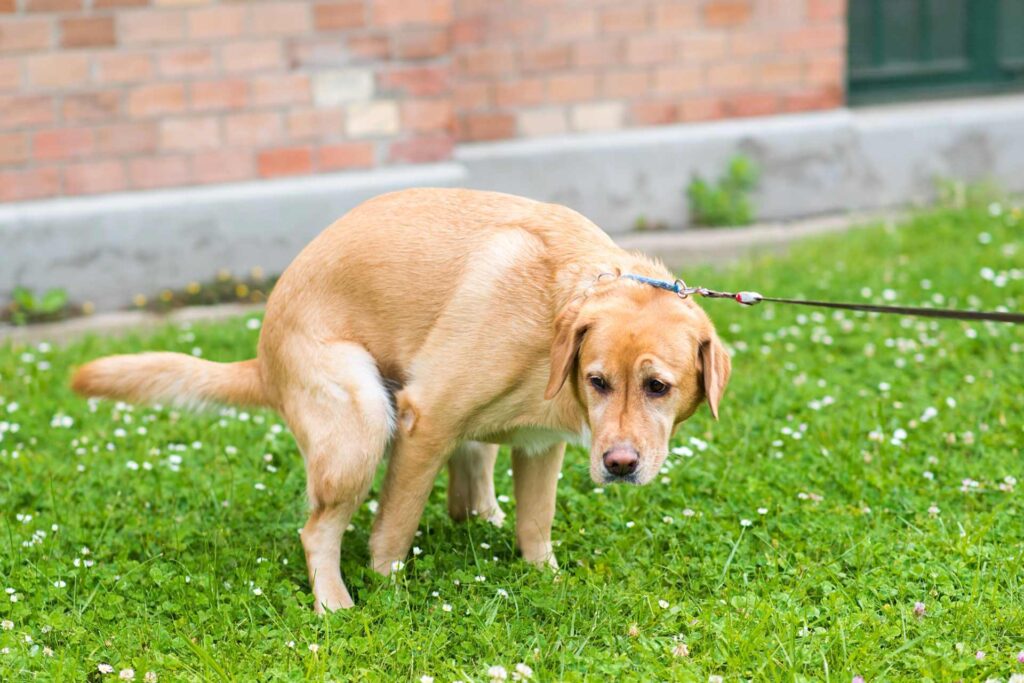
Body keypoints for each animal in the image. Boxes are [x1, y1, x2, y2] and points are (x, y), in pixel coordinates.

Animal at [72, 188, 729, 614]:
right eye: (597, 381)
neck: (556, 311)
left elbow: (536, 524)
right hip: (361, 422)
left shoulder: (541, 448)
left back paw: (482, 518)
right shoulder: (425, 420)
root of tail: (263, 358)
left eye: (658, 387)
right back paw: (334, 602)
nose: (619, 465)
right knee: (317, 531)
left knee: (469, 490)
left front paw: (545, 576)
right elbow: (394, 527)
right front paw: (387, 586)